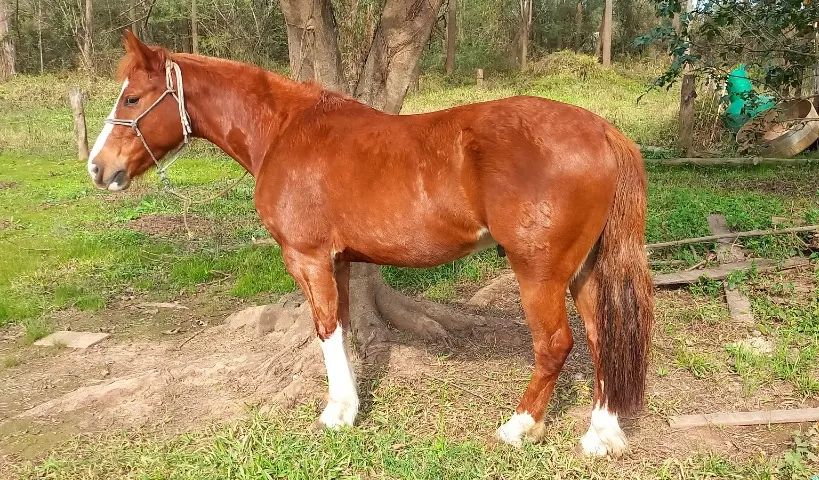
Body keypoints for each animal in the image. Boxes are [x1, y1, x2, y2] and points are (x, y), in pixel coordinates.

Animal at [88, 30, 653, 457]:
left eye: (132, 98)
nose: (98, 167)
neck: (284, 132)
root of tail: (602, 130)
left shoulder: (308, 258)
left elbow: (325, 330)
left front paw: (337, 413)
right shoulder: (337, 261)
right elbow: (339, 328)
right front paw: (349, 404)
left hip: (539, 270)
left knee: (556, 344)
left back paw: (520, 426)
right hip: (584, 269)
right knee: (602, 337)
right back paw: (602, 434)